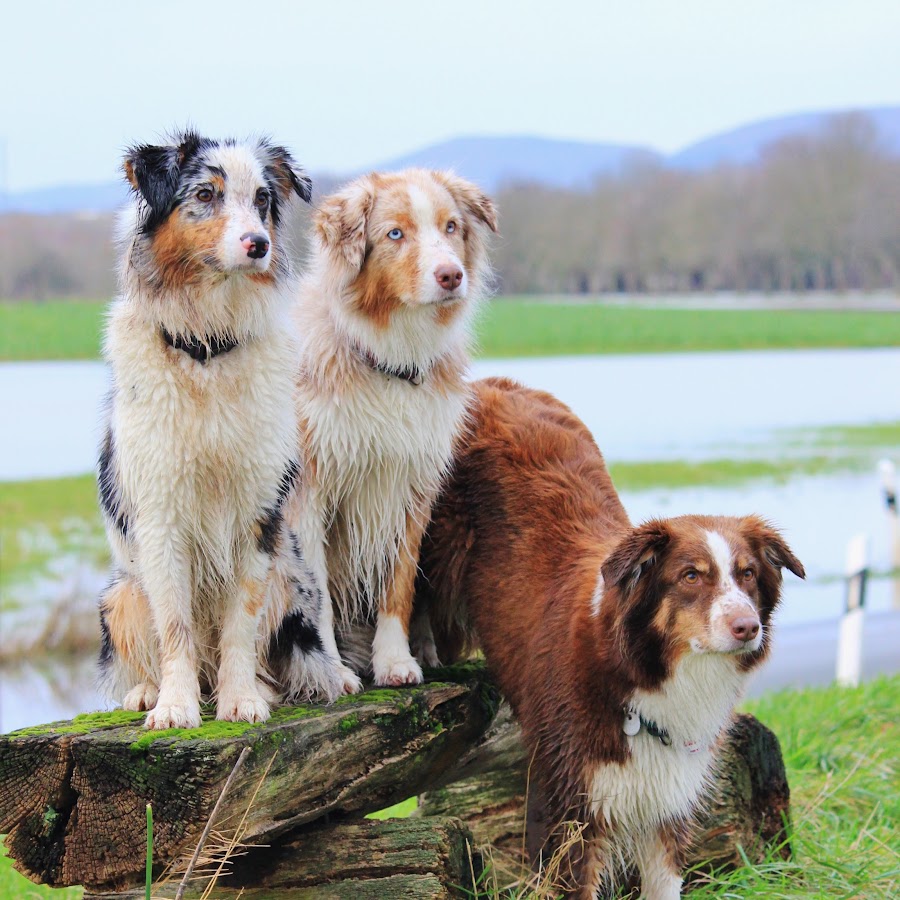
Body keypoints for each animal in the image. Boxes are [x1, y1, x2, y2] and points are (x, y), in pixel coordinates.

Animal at [292, 171, 496, 688]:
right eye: (395, 234)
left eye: (450, 227)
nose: (451, 275)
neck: (391, 357)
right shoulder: (310, 491)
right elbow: (317, 594)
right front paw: (334, 674)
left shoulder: (411, 488)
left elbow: (398, 586)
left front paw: (395, 661)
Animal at [418, 378, 804, 900]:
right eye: (690, 576)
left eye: (746, 574)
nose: (748, 628)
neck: (644, 675)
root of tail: (490, 382)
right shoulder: (568, 804)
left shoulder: (667, 806)